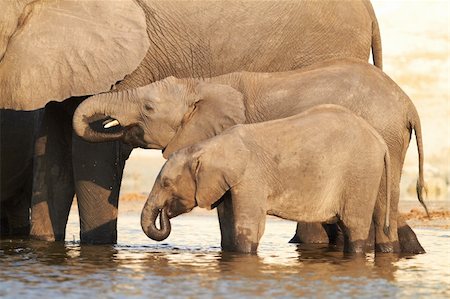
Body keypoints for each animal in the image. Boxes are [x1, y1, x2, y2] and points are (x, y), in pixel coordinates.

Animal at [142, 105, 392, 255]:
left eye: (166, 184)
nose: (164, 214)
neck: (209, 146)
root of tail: (380, 140)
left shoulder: (250, 177)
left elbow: (247, 227)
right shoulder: (231, 184)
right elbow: (228, 227)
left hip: (361, 172)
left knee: (354, 226)